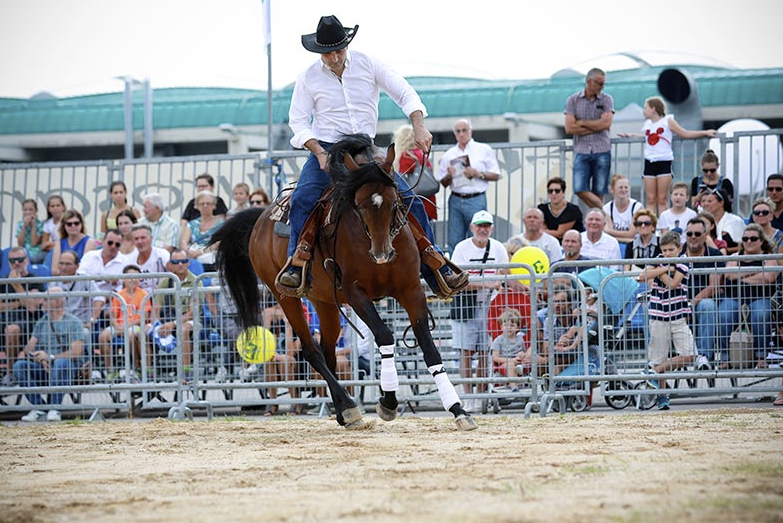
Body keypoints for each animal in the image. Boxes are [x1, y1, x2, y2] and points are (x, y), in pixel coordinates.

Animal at [211, 134, 474, 430]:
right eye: (358, 205)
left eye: (395, 202)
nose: (382, 253)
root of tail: (259, 219)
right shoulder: (356, 293)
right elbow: (385, 335)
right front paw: (388, 402)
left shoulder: (411, 290)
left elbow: (430, 349)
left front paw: (457, 409)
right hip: (285, 298)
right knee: (311, 350)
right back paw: (348, 406)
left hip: (323, 302)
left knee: (328, 352)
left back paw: (342, 411)